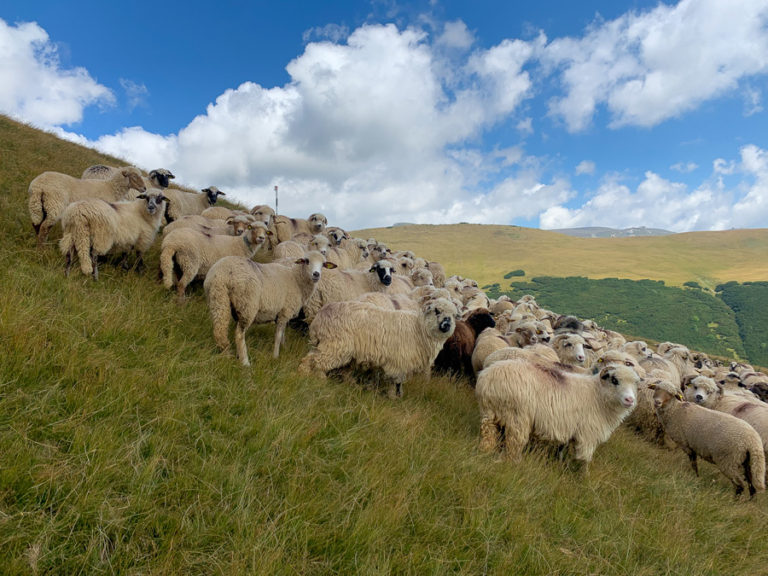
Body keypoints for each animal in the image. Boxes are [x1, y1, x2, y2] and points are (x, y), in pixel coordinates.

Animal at [204, 250, 335, 364]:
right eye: (307, 261)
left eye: (323, 264)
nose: (316, 274)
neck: (297, 280)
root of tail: (222, 273)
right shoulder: (285, 312)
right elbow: (278, 335)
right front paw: (276, 356)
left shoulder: (282, 314)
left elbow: (283, 333)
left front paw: (284, 348)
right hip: (247, 305)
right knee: (239, 334)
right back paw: (245, 362)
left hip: (218, 299)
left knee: (219, 330)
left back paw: (227, 354)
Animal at [298, 297, 458, 398]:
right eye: (436, 310)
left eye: (454, 315)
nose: (447, 324)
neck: (419, 328)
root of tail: (320, 316)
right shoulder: (399, 362)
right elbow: (396, 382)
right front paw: (394, 397)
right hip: (336, 346)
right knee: (315, 361)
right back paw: (309, 376)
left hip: (326, 344)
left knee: (313, 357)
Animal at [475, 361, 640, 471]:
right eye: (614, 380)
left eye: (635, 384)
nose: (630, 400)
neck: (598, 395)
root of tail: (489, 378)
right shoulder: (587, 435)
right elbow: (583, 461)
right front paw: (583, 482)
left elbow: (562, 451)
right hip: (517, 417)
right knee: (514, 443)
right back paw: (514, 462)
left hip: (489, 413)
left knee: (488, 436)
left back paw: (485, 452)